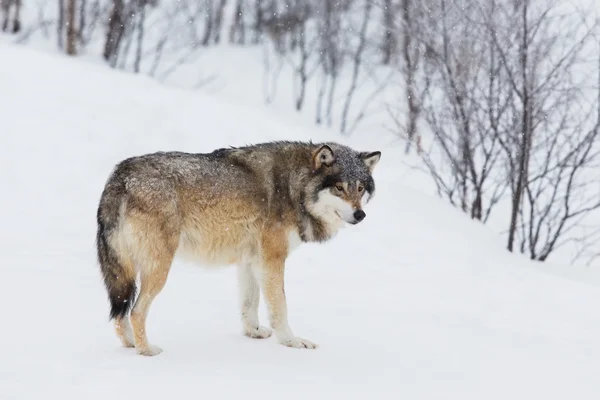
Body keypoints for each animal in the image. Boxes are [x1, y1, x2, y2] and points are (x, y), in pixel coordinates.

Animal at [96, 141, 382, 356]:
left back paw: (130, 344)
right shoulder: (272, 259)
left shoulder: (251, 260)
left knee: (121, 313)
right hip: (159, 268)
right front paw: (292, 342)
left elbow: (249, 304)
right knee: (136, 311)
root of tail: (120, 175)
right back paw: (146, 350)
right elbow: (280, 307)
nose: (360, 214)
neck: (295, 187)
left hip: (127, 271)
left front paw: (253, 333)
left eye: (359, 188)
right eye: (339, 188)